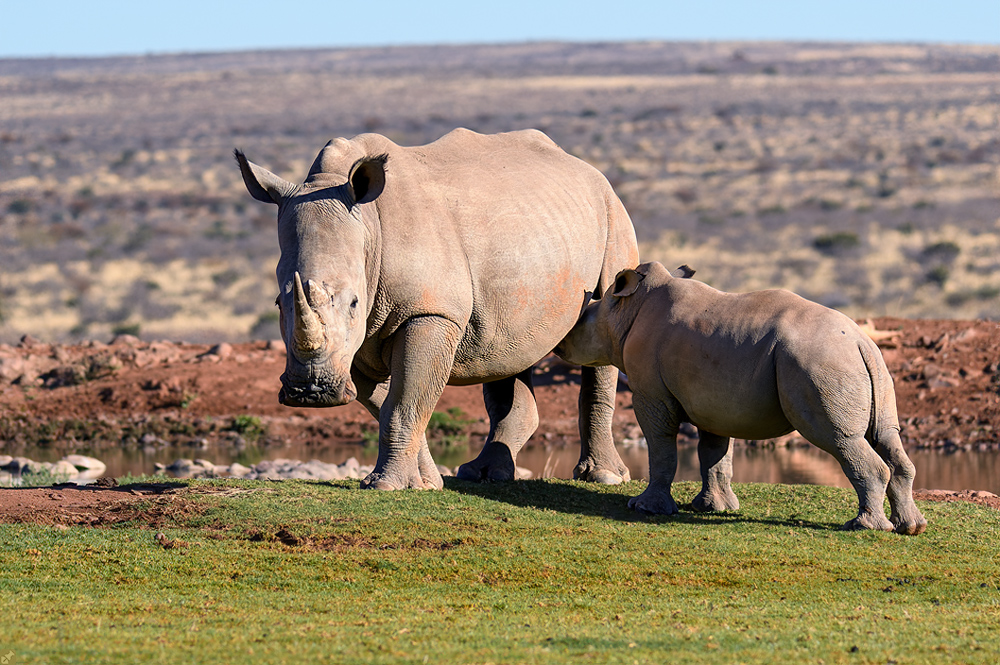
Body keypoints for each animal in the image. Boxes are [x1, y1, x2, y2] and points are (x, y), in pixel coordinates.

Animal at [236, 128, 639, 490]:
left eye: (353, 302)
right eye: (279, 303)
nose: (311, 391)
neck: (368, 230)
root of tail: (586, 167)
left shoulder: (430, 312)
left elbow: (403, 404)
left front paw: (386, 486)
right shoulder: (357, 343)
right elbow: (391, 404)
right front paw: (425, 482)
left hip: (612, 214)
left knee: (602, 322)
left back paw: (604, 477)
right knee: (506, 353)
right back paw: (482, 474)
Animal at [555, 261, 927, 535]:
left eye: (581, 323)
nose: (560, 345)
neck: (625, 312)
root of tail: (861, 343)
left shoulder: (651, 393)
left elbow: (661, 446)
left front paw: (644, 507)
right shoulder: (713, 398)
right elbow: (714, 453)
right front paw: (713, 508)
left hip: (819, 363)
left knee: (840, 439)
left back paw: (864, 527)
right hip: (868, 366)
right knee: (885, 436)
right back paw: (910, 527)